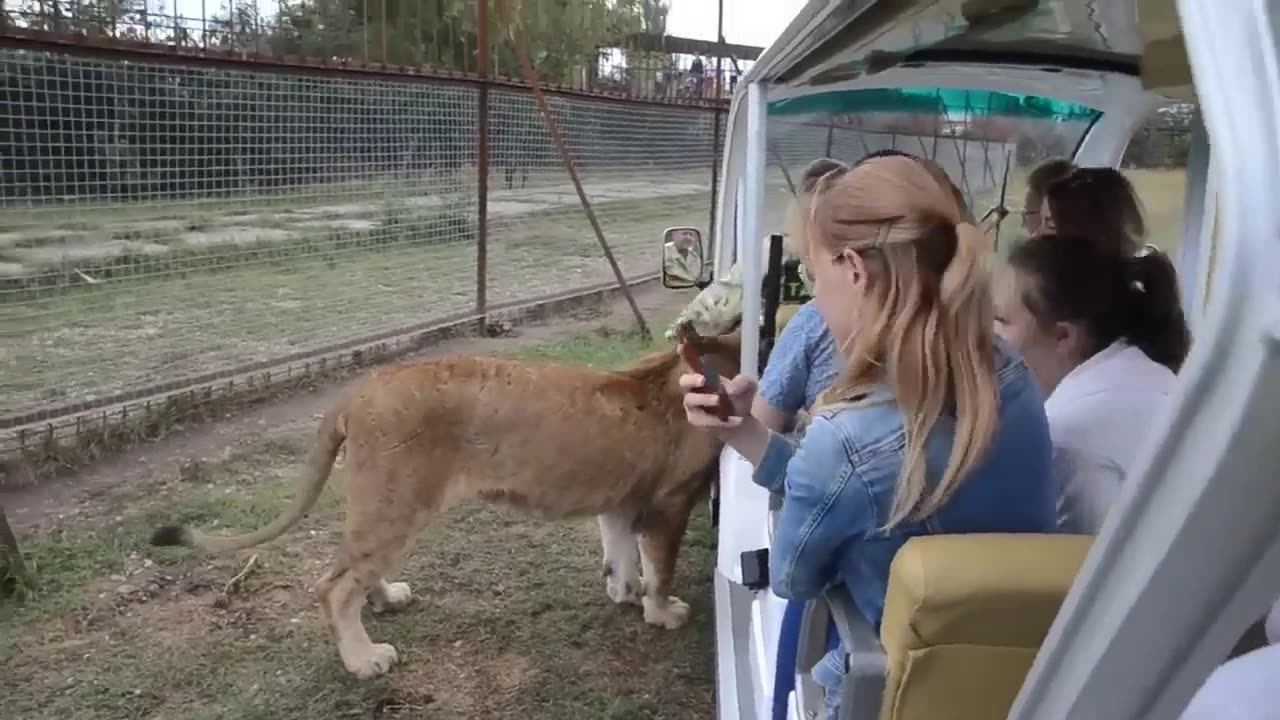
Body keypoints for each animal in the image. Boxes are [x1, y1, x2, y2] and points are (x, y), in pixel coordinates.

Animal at [149, 327, 742, 676]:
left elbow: (620, 553)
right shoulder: (669, 503)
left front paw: (625, 592)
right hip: (397, 501)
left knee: (352, 568)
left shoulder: (622, 497)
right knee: (333, 587)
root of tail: (357, 390)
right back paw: (365, 660)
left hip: (380, 502)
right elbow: (660, 567)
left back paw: (386, 598)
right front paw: (662, 612)